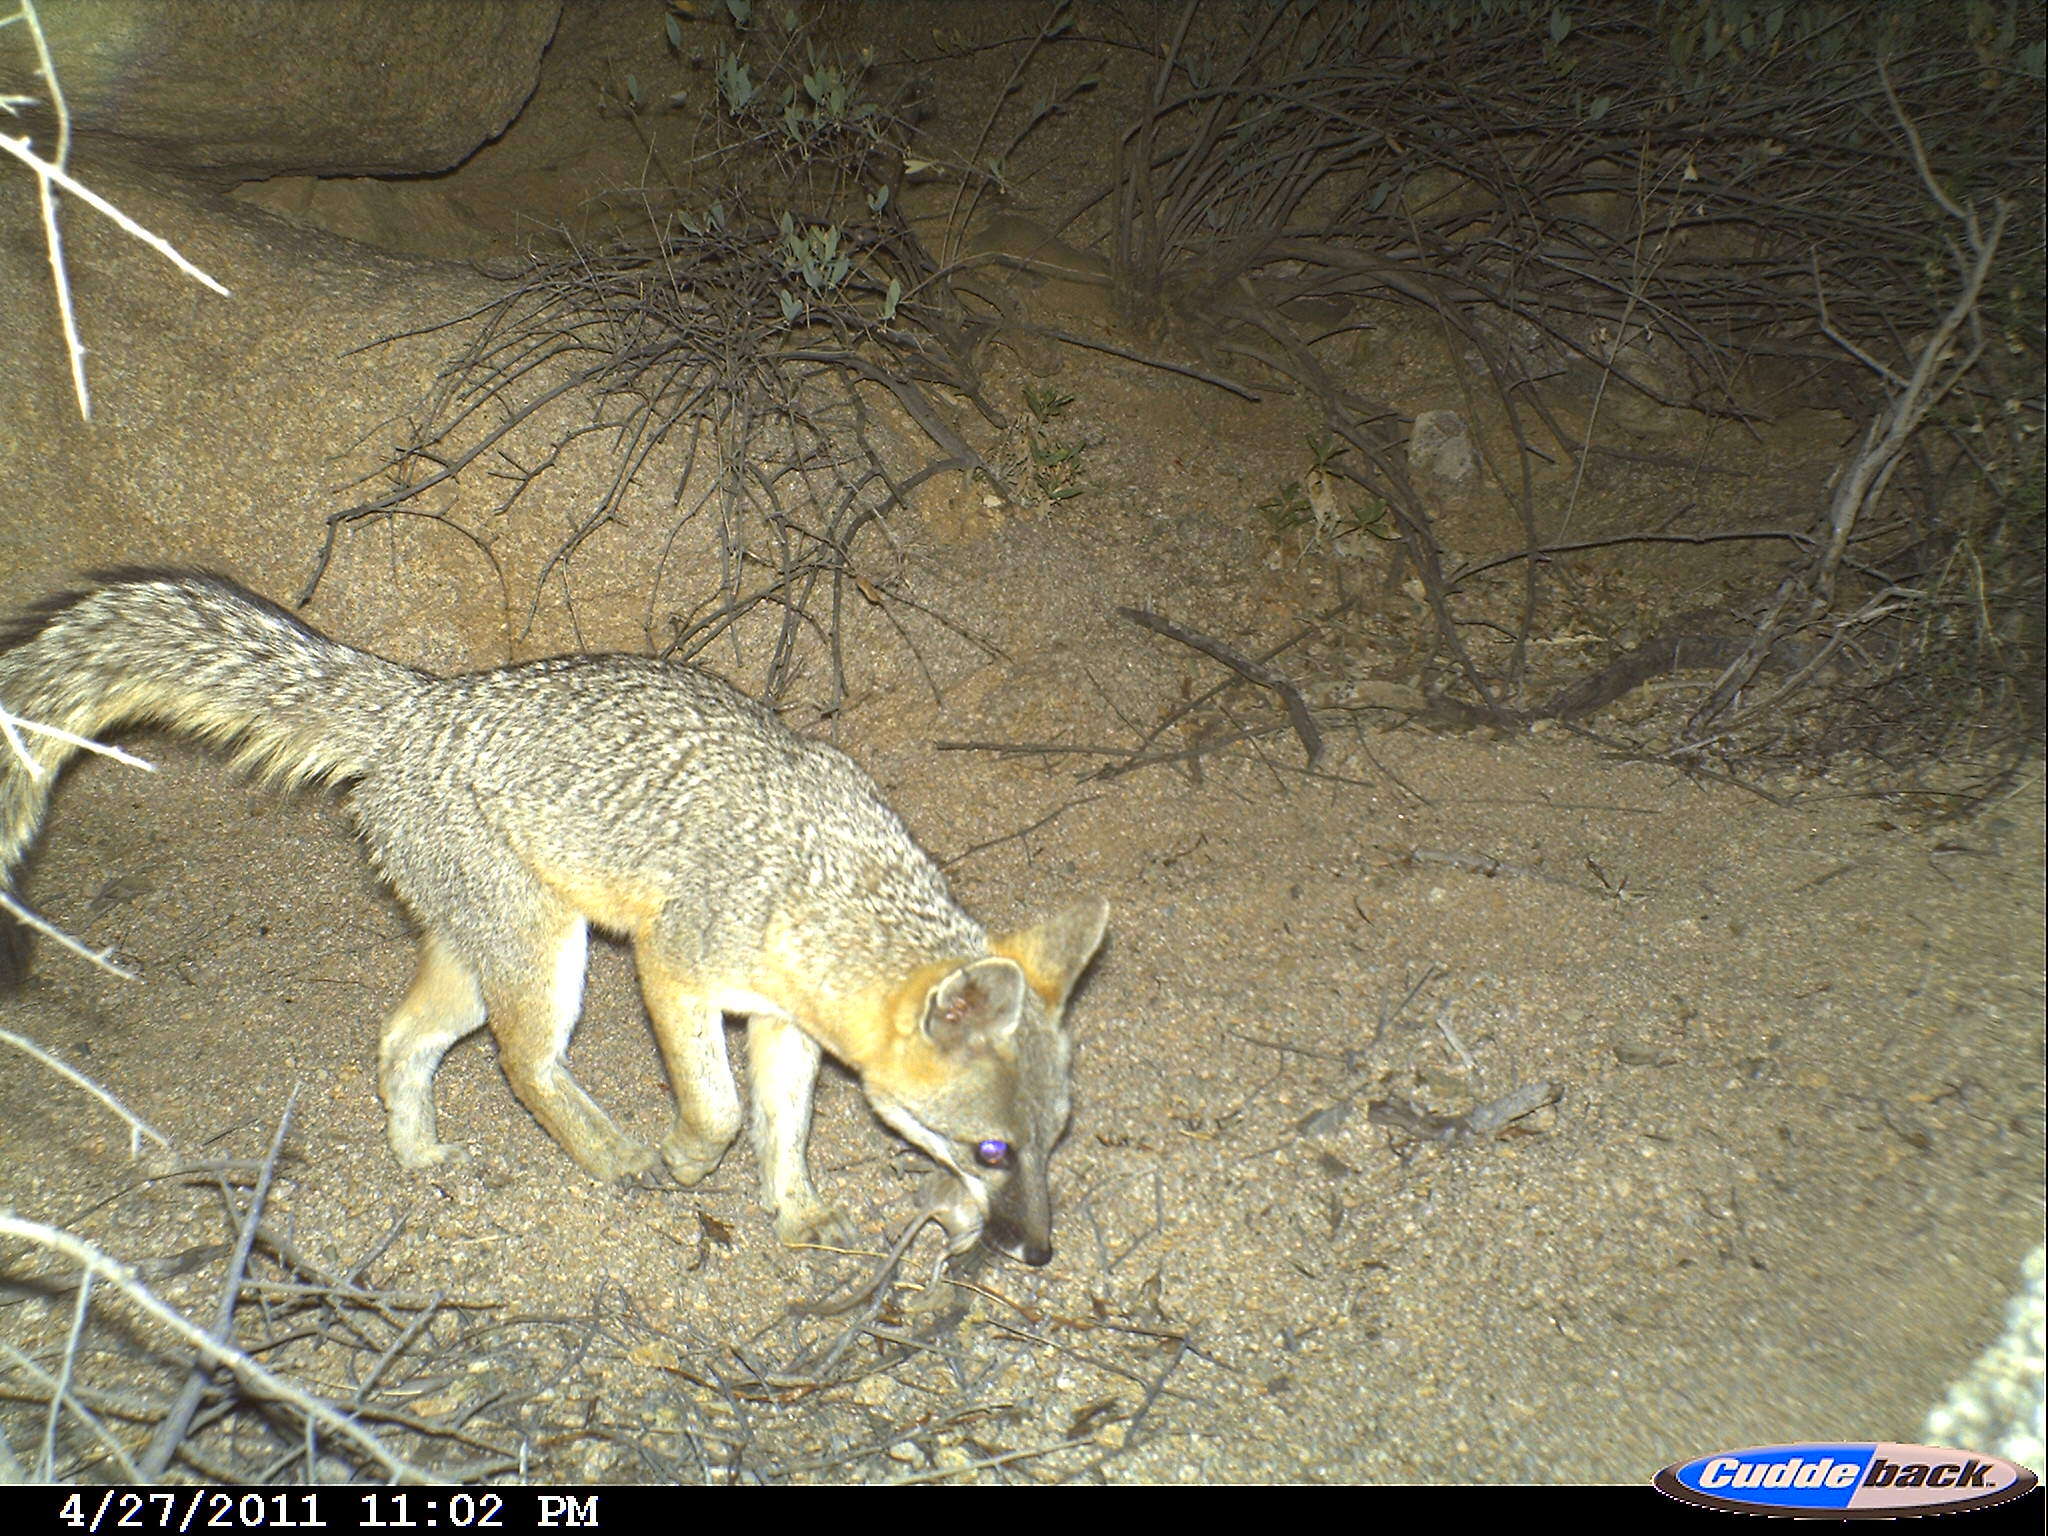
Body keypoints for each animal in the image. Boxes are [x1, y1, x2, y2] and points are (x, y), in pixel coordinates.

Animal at [0, 573, 1105, 1269]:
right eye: (990, 1152)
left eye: (1051, 1140)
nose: (1039, 1251)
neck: (823, 888)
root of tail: (418, 703)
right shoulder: (672, 963)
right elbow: (719, 1110)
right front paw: (684, 1160)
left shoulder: (783, 1023)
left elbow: (782, 1128)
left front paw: (790, 1211)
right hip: (549, 956)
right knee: (522, 1065)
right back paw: (609, 1157)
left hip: (480, 955)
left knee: (400, 1041)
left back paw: (419, 1159)